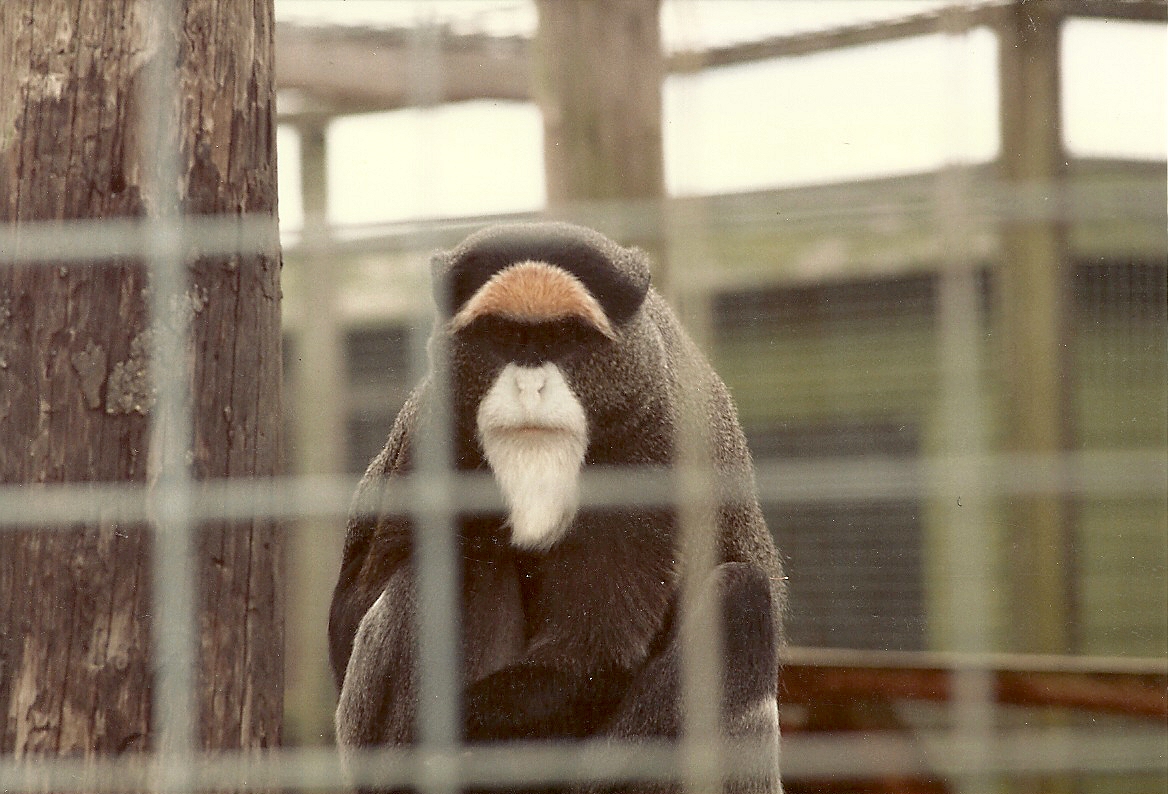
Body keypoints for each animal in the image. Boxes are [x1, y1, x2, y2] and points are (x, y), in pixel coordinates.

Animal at [328, 222, 785, 794]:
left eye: (565, 337)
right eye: (503, 336)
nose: (530, 385)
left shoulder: (655, 443)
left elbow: (590, 655)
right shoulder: (429, 431)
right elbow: (348, 617)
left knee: (742, 599)